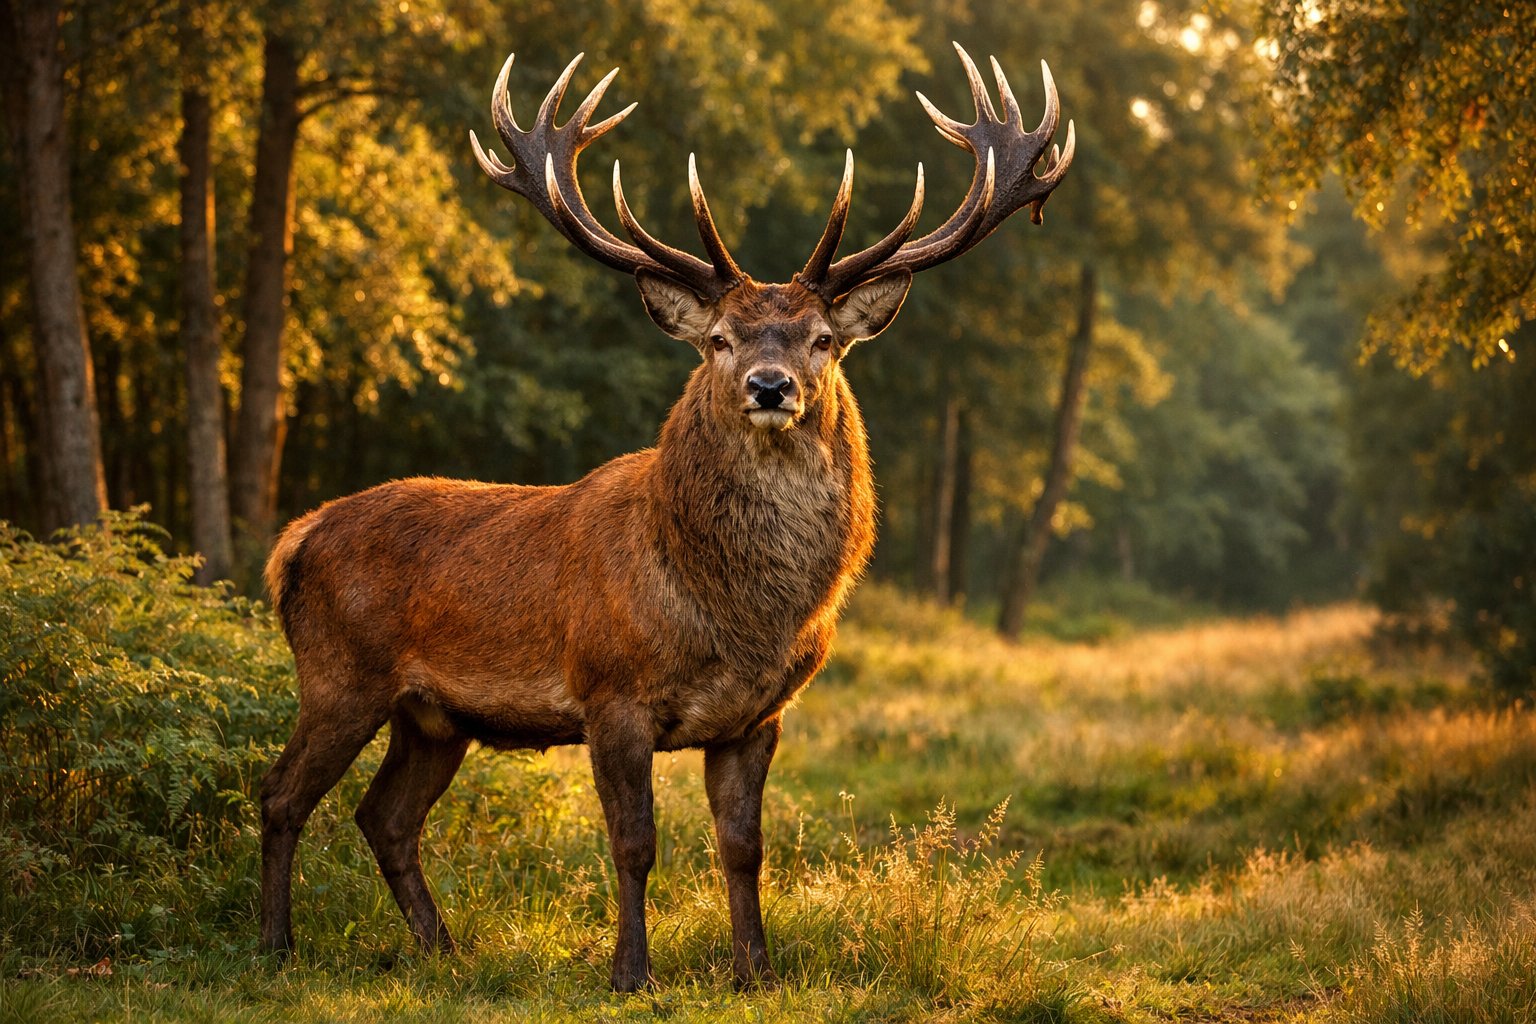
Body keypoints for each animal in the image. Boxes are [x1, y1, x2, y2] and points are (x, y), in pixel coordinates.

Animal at [258, 42, 1073, 991]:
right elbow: (634, 844)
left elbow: (744, 848)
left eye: (823, 341)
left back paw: (443, 951)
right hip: (339, 674)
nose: (770, 385)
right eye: (719, 339)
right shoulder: (611, 693)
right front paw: (630, 973)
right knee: (281, 794)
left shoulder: (759, 716)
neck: (734, 615)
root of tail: (292, 542)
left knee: (383, 816)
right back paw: (276, 945)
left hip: (432, 717)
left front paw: (756, 971)